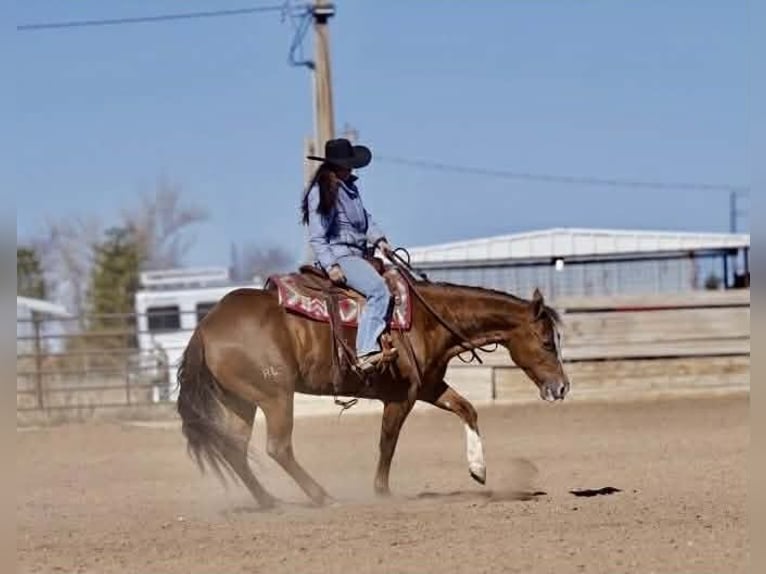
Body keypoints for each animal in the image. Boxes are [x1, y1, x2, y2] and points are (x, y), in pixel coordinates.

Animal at [176, 265, 570, 509]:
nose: (562, 388)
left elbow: (467, 409)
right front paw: (382, 492)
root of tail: (206, 327)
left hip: (241, 401)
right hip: (275, 397)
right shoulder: (401, 397)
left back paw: (269, 501)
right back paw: (322, 497)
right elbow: (387, 442)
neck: (425, 319)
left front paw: (478, 469)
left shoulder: (428, 386)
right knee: (278, 448)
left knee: (236, 449)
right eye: (547, 342)